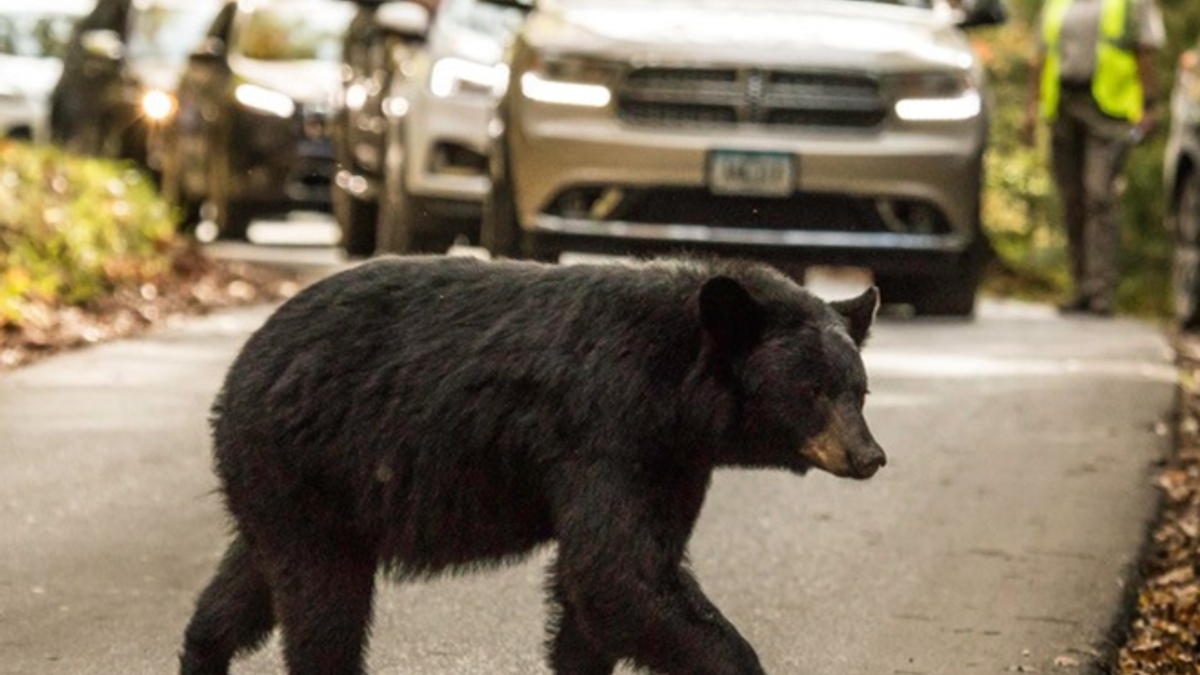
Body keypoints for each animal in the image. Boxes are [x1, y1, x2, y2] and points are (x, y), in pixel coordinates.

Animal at [179, 255, 886, 675]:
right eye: (811, 390)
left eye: (859, 389)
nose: (870, 456)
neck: (675, 387)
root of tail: (240, 369)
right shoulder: (607, 433)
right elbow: (615, 574)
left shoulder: (672, 463)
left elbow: (607, 587)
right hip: (306, 463)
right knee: (324, 604)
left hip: (291, 489)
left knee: (250, 582)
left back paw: (201, 651)